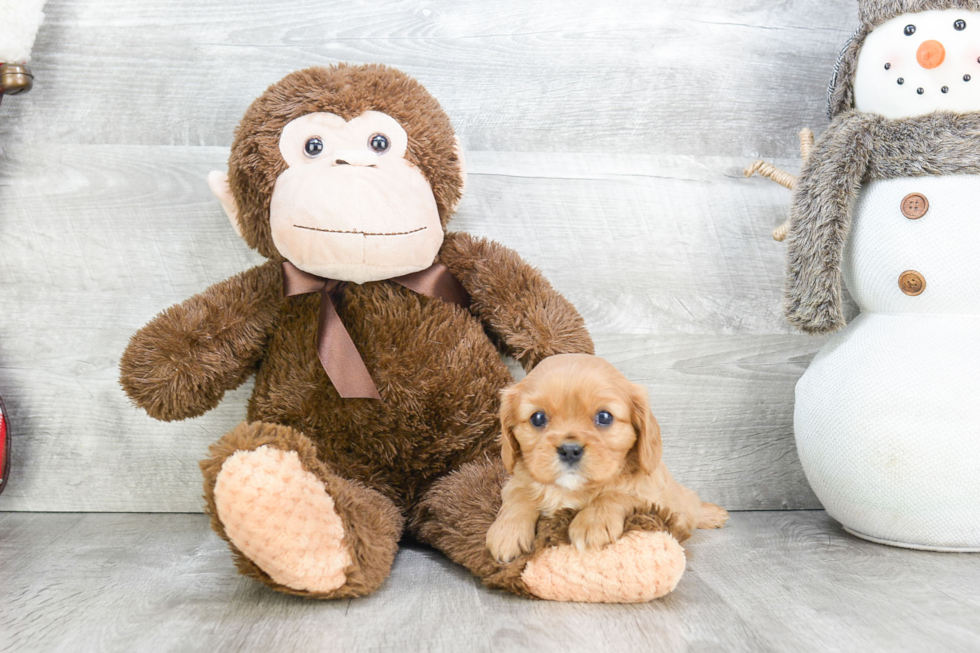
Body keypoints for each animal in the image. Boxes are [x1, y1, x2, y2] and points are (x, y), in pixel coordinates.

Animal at [490, 352, 728, 560]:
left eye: (604, 417)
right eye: (537, 418)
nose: (570, 450)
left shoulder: (652, 496)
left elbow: (617, 494)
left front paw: (592, 522)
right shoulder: (516, 480)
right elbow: (519, 494)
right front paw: (507, 532)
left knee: (692, 508)